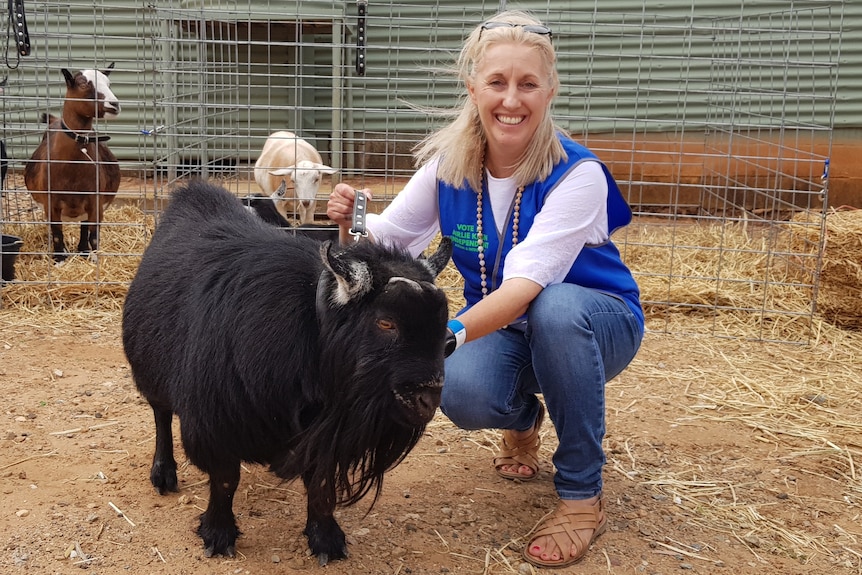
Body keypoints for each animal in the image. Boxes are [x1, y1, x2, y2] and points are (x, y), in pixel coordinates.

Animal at [23, 63, 121, 264]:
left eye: (108, 83)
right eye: (83, 84)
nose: (114, 105)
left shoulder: (95, 201)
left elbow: (94, 235)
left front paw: (94, 259)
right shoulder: (51, 203)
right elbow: (57, 233)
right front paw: (59, 259)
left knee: (84, 226)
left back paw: (82, 251)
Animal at [125, 179, 460, 564]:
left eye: (445, 331)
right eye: (386, 322)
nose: (428, 399)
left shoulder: (319, 434)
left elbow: (320, 483)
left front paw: (326, 538)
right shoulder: (216, 423)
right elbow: (225, 480)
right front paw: (218, 534)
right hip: (152, 377)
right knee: (162, 418)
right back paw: (163, 474)